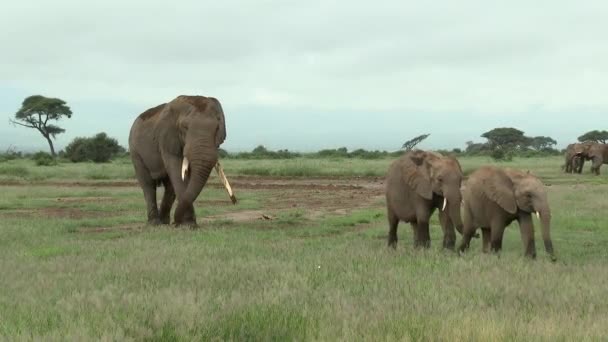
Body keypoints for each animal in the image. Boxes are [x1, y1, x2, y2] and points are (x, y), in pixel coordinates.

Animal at [128, 95, 226, 226]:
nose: (176, 222)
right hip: (135, 151)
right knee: (148, 184)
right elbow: (177, 171)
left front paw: (186, 224)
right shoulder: (166, 139)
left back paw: (164, 222)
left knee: (169, 187)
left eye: (217, 128)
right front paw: (188, 225)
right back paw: (154, 224)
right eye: (185, 127)